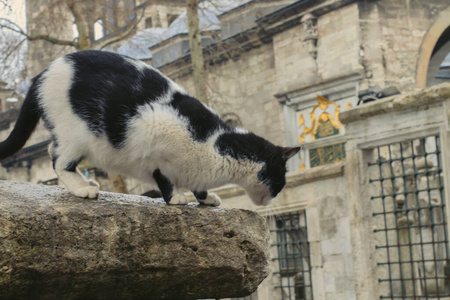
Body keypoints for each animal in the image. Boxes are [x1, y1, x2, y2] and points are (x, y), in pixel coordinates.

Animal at [0, 50, 302, 207]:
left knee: (52, 149)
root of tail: (42, 74)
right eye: (280, 182)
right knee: (58, 159)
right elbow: (164, 178)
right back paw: (81, 188)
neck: (215, 144)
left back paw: (86, 181)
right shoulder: (155, 132)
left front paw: (205, 198)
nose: (272, 200)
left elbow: (199, 186)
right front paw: (176, 198)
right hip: (77, 133)